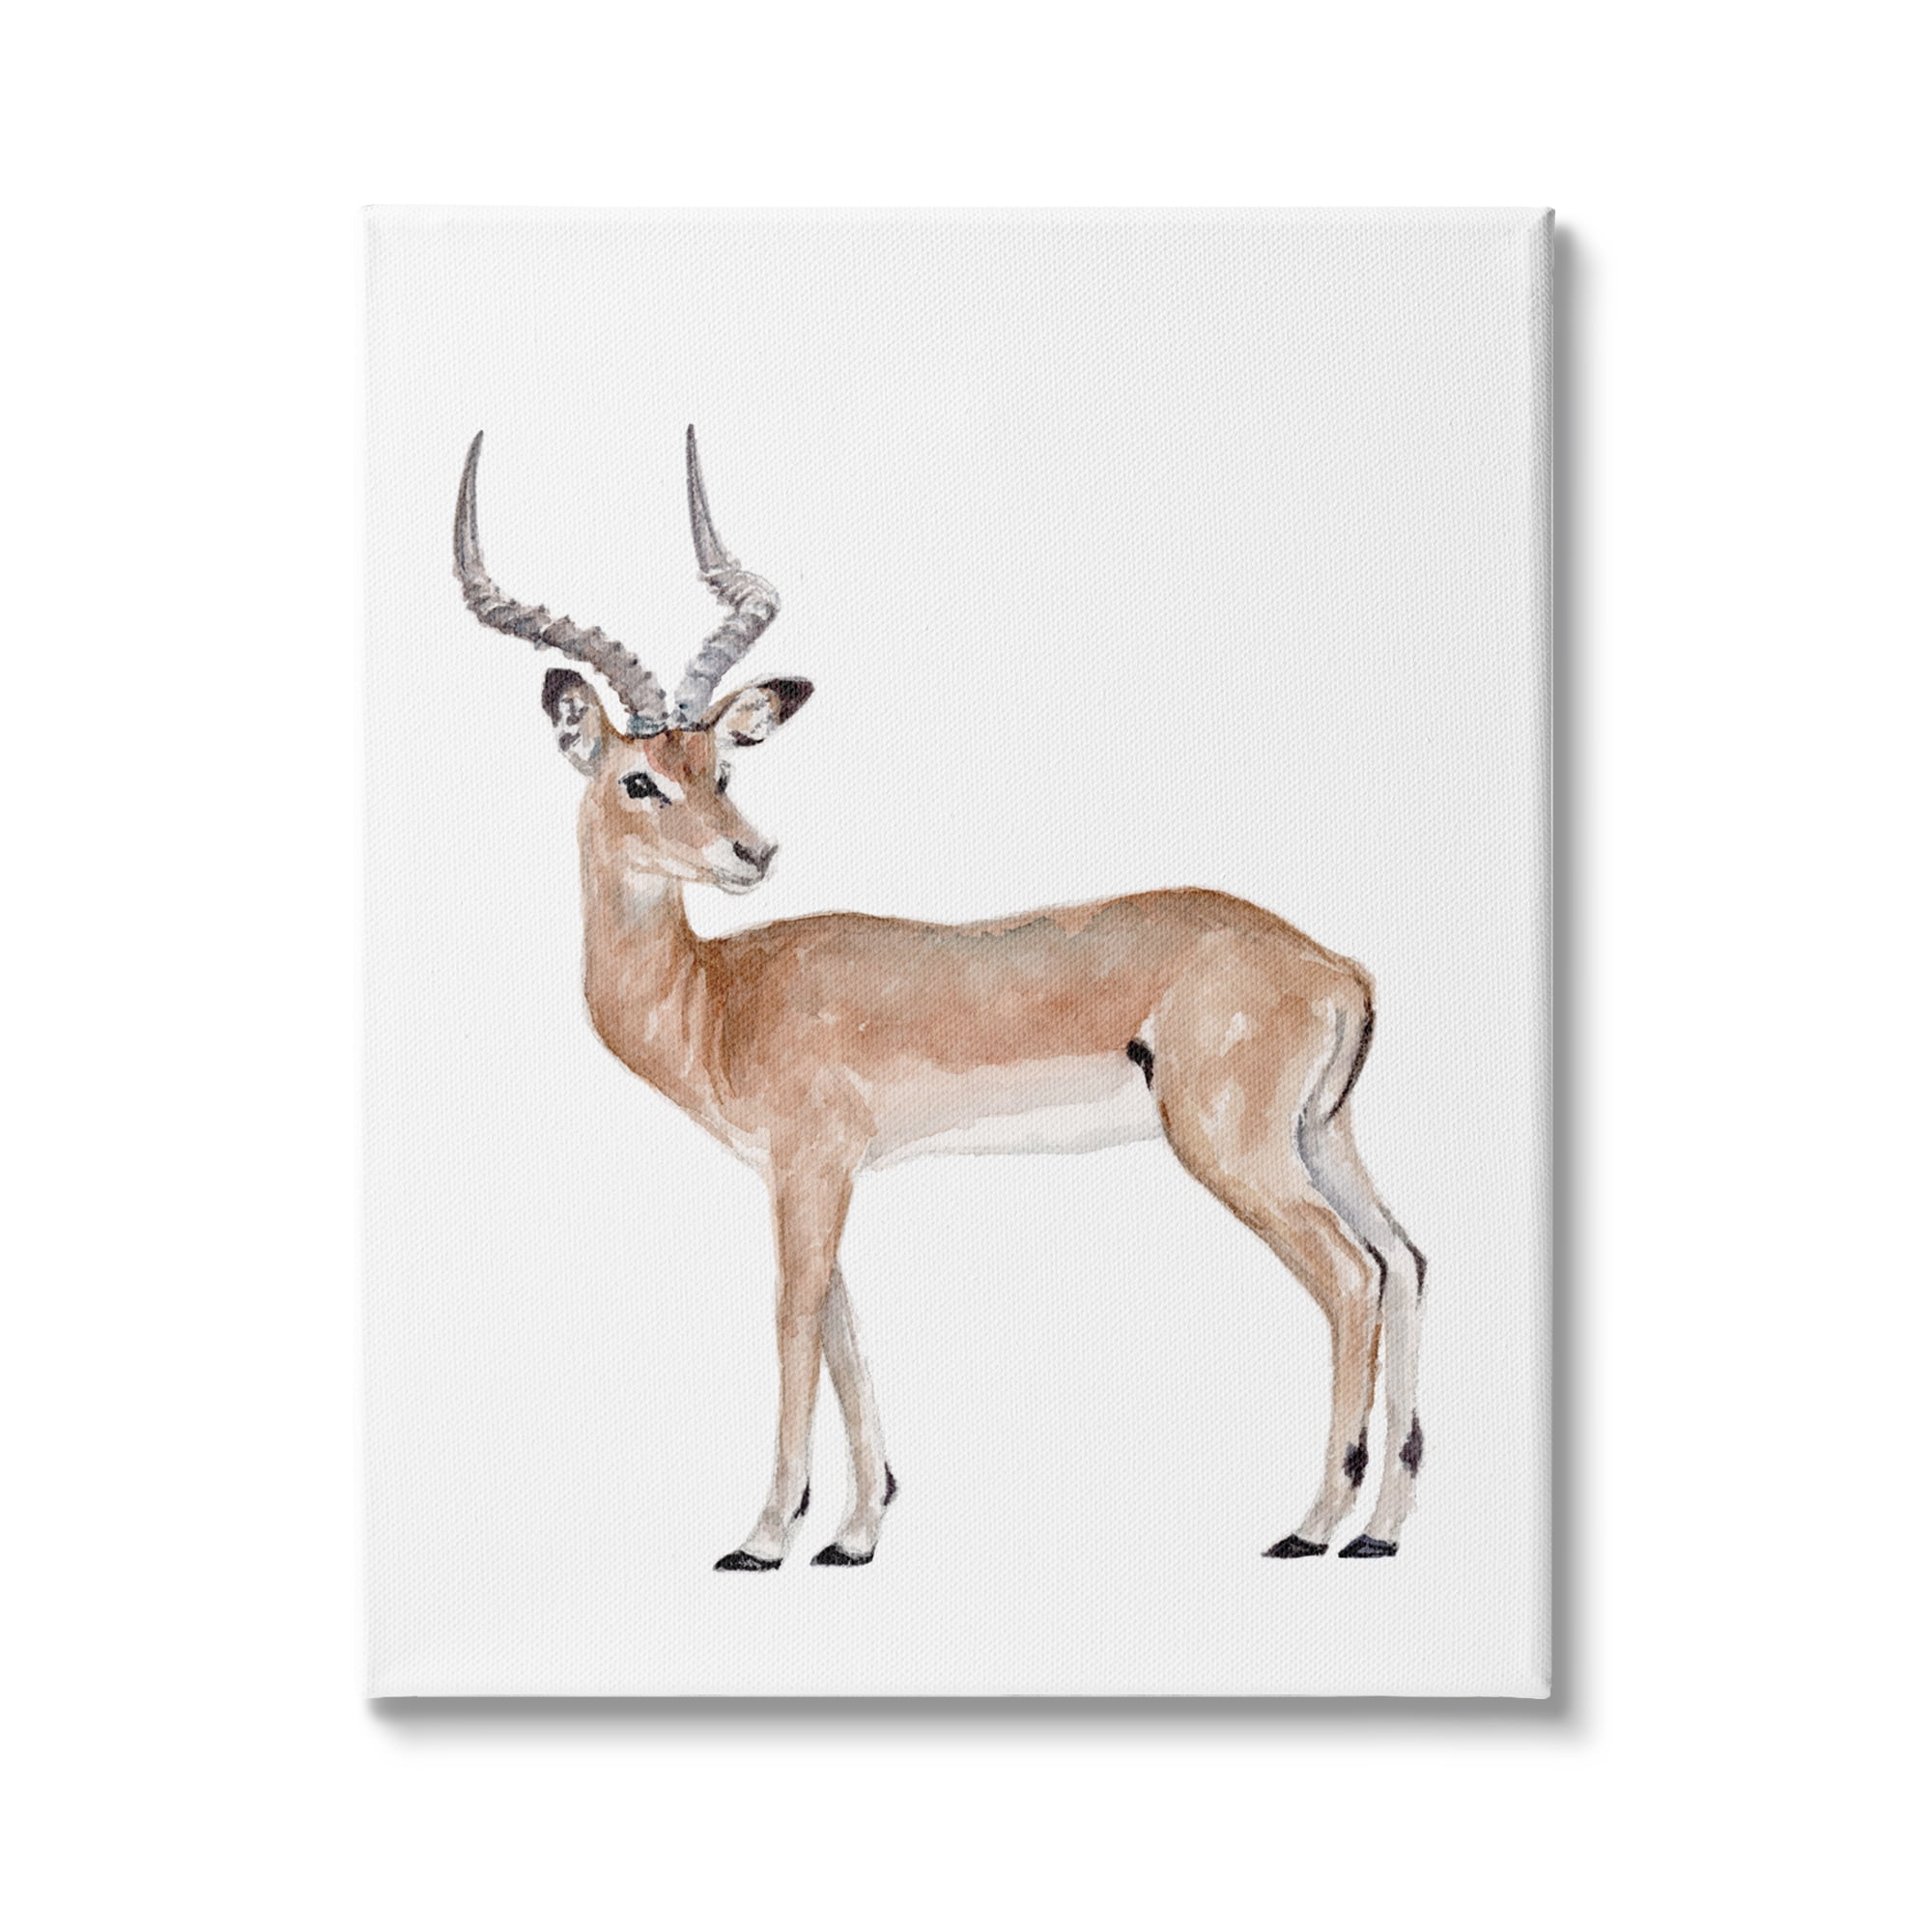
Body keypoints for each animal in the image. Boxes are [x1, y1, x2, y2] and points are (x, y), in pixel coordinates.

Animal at [452, 429, 1426, 1569]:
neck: (718, 995)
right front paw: (855, 1533)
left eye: (720, 767)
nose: (752, 853)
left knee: (1350, 1276)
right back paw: (1379, 1533)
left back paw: (1310, 1525)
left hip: (1234, 1148)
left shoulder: (811, 1169)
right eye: (639, 778)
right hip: (1321, 1134)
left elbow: (793, 1320)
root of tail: (1333, 964)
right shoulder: (809, 1174)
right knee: (1403, 1259)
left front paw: (763, 1537)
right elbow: (843, 1328)